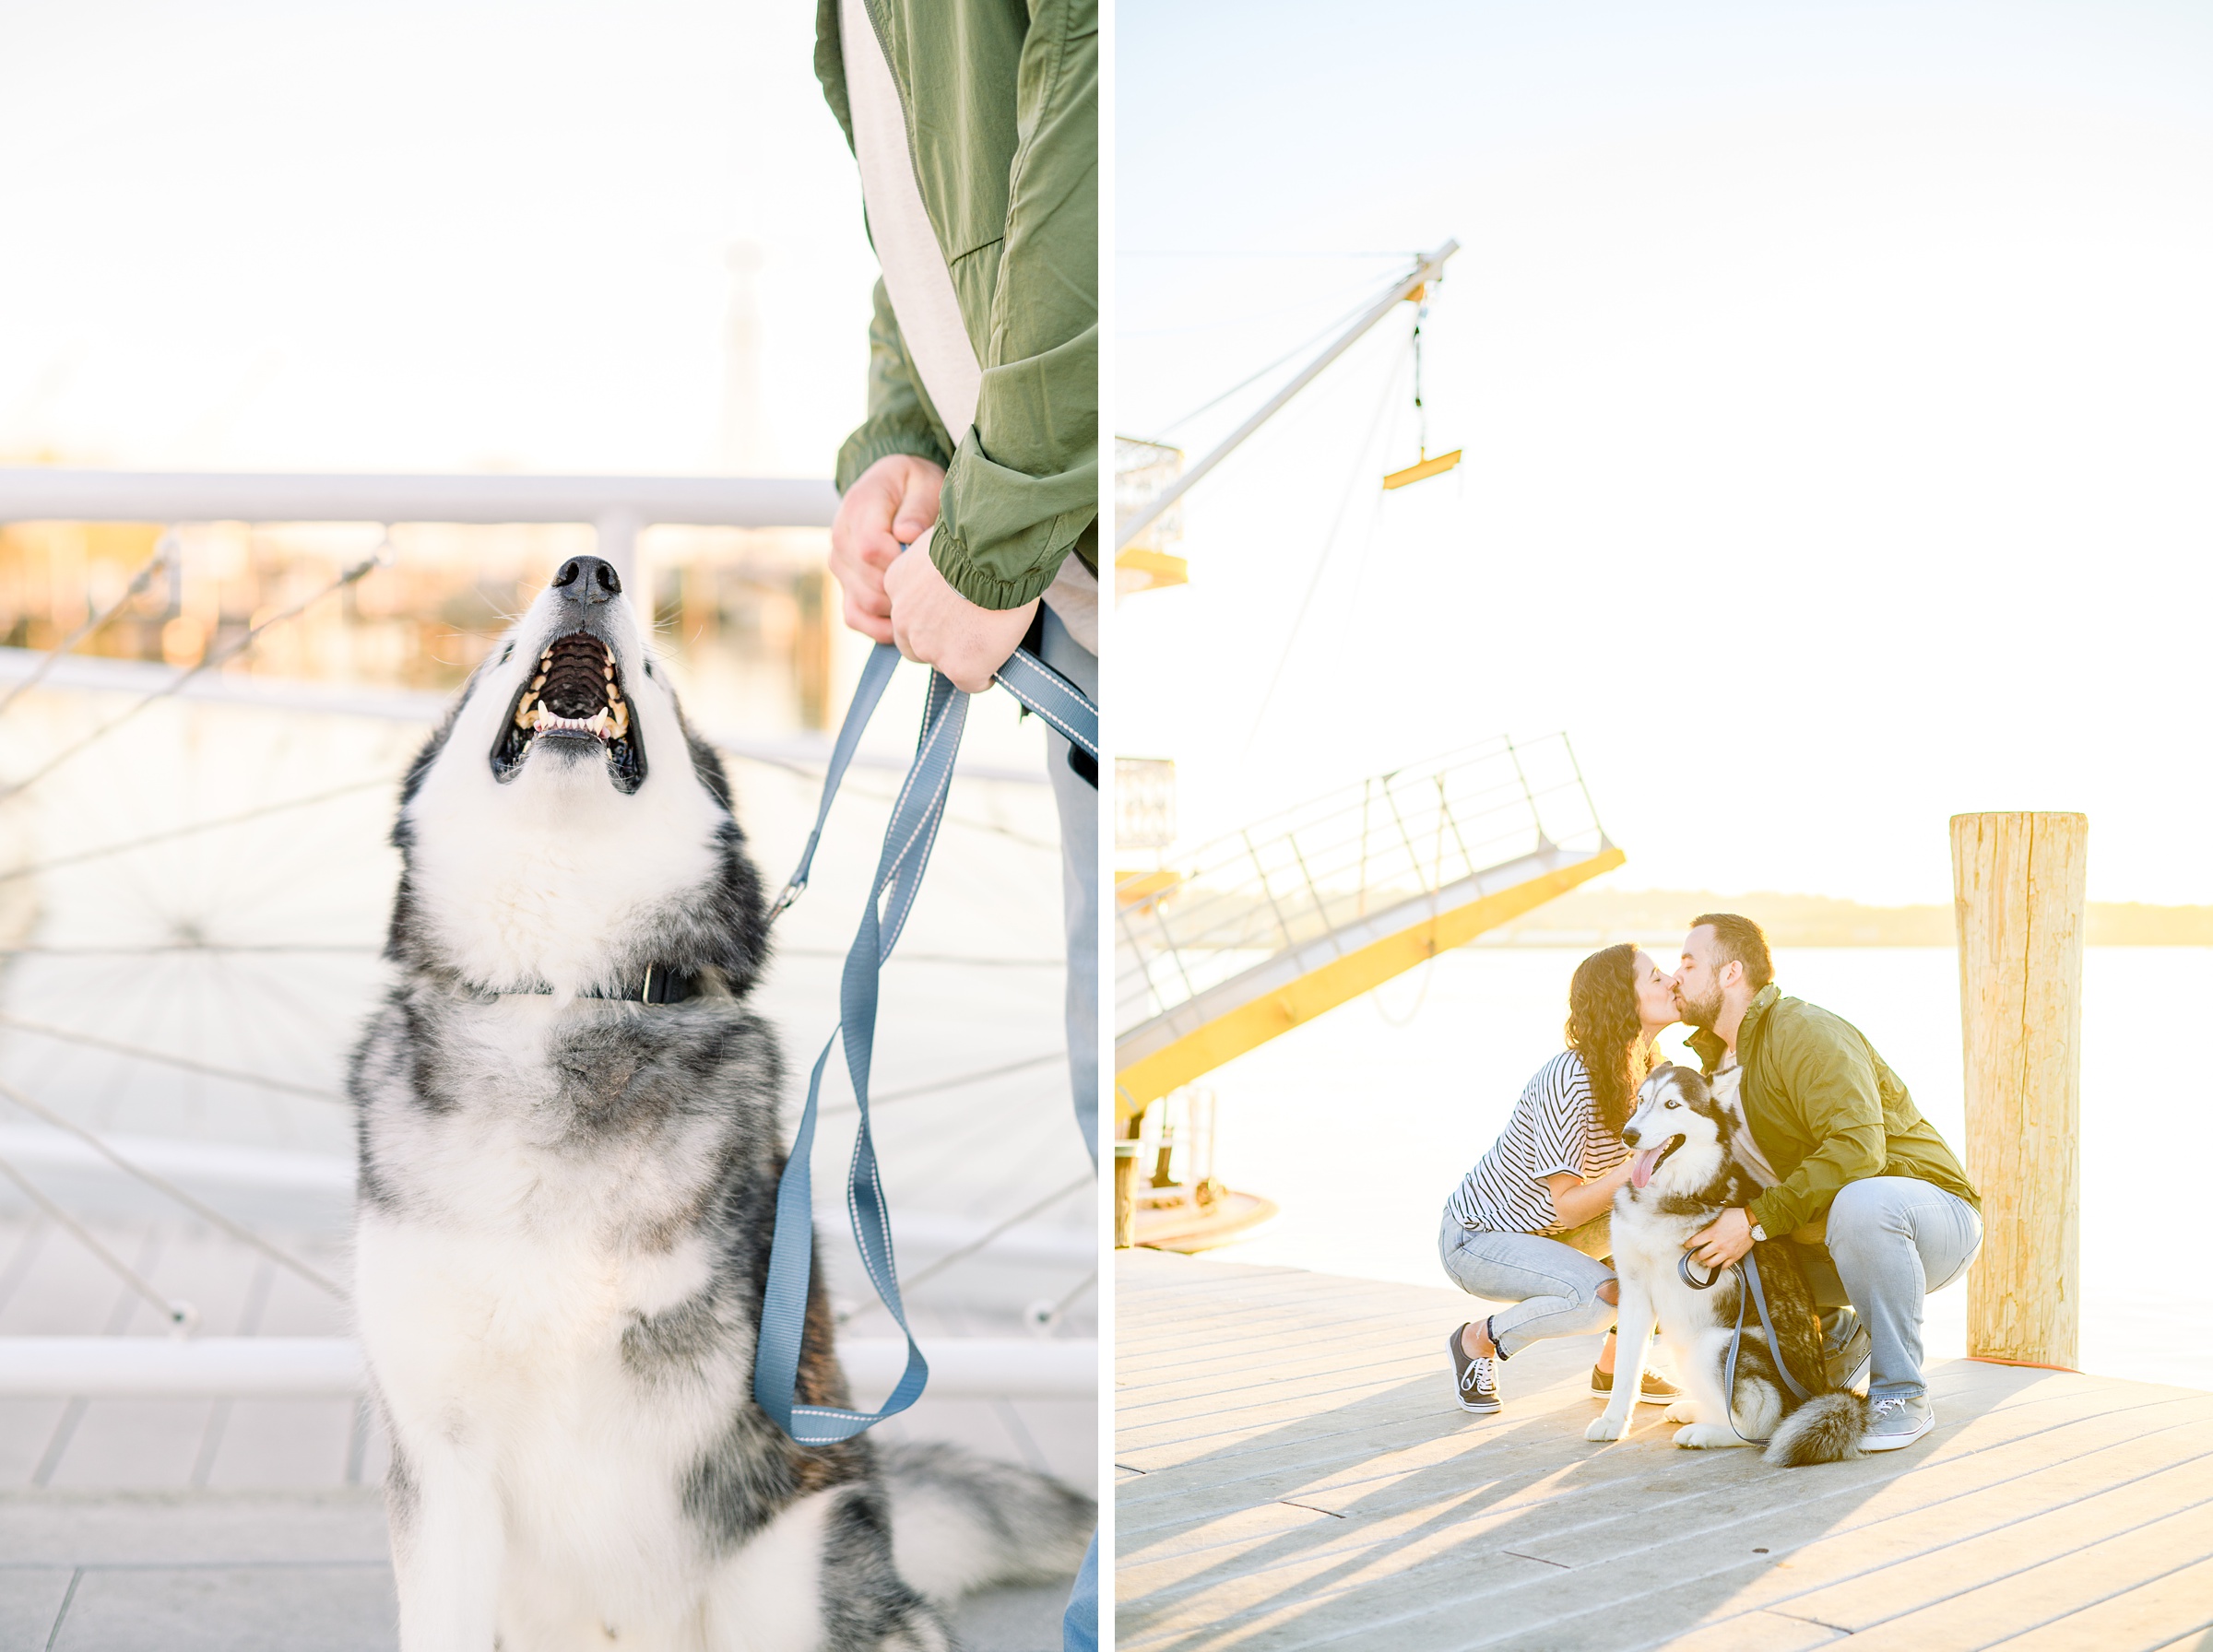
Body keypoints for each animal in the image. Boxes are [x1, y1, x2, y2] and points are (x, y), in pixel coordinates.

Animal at [347, 559, 1097, 1652]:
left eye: (659, 674)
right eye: (497, 656)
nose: (589, 572)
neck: (562, 989)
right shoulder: (440, 1460)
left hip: (790, 1566)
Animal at [1593, 1066, 1867, 1468]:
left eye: (1672, 1104)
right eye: (1641, 1101)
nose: (1629, 1135)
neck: (1676, 1191)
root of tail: (1815, 1393)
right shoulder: (1634, 1291)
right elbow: (1626, 1369)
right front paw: (1613, 1422)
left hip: (1714, 1343)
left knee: (1761, 1430)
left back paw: (1705, 1433)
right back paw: (1695, 1410)